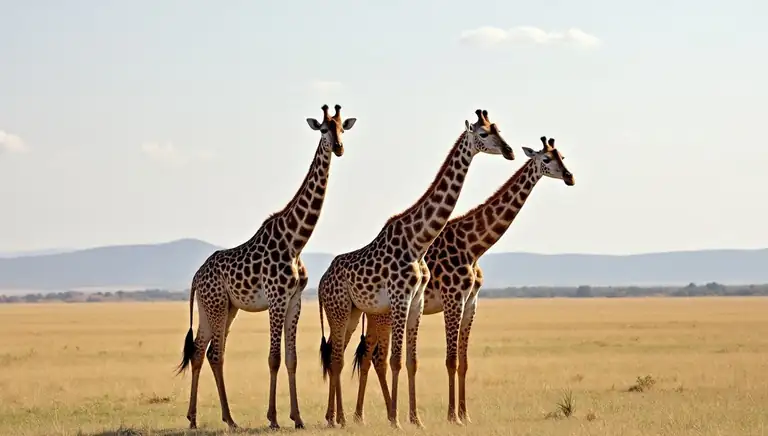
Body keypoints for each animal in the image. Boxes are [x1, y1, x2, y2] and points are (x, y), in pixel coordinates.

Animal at [174, 104, 357, 430]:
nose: (338, 147)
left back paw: (194, 419)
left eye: (342, 128)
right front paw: (272, 418)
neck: (296, 240)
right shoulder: (275, 299)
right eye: (324, 129)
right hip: (217, 305)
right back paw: (229, 419)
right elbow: (273, 358)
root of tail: (196, 277)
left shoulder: (295, 301)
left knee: (198, 351)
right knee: (215, 354)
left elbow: (292, 358)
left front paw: (297, 418)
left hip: (219, 308)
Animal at [316, 109, 515, 429]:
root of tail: (322, 281)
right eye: (484, 133)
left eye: (498, 128)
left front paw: (415, 418)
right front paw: (396, 419)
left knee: (339, 356)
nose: (509, 150)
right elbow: (396, 360)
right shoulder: (402, 298)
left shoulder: (417, 302)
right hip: (341, 310)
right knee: (339, 358)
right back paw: (342, 419)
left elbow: (412, 361)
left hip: (353, 313)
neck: (418, 240)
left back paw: (335, 417)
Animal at [351, 136, 575, 425]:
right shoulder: (453, 299)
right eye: (547, 159)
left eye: (563, 157)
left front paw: (465, 415)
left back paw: (372, 414)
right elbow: (451, 360)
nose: (570, 177)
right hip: (383, 313)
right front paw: (452, 416)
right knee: (371, 355)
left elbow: (464, 361)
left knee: (371, 355)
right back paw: (363, 416)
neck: (474, 246)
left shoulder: (471, 302)